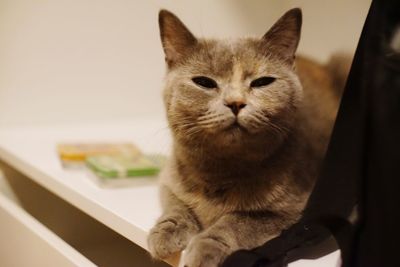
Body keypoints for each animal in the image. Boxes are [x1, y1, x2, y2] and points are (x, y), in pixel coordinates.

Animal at [148, 8, 346, 267]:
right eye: (204, 82)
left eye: (262, 82)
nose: (235, 102)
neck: (221, 171)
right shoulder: (169, 179)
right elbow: (176, 205)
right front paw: (165, 233)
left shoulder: (295, 211)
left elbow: (238, 221)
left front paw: (204, 248)